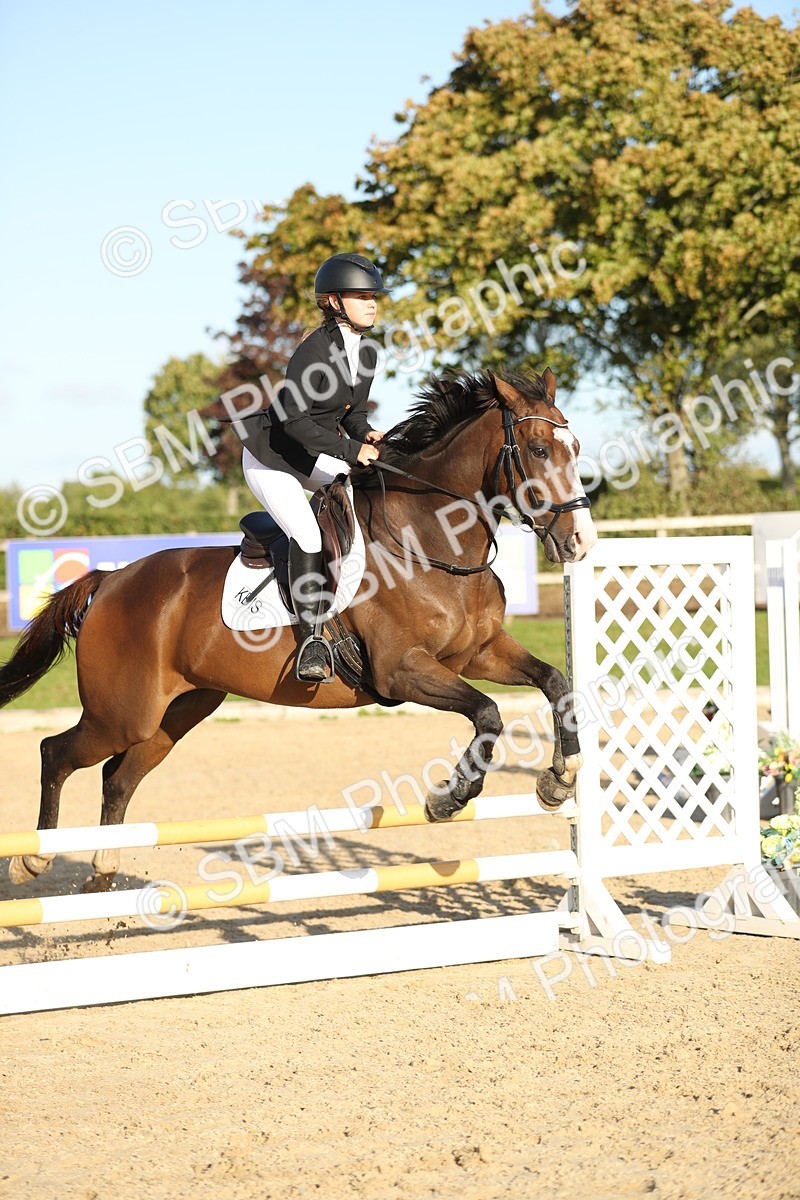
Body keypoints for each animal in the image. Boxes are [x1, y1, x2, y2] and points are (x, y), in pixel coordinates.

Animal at [0, 368, 597, 889]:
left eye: (576, 448)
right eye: (538, 451)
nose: (580, 542)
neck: (431, 543)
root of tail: (111, 580)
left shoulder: (480, 653)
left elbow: (555, 682)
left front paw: (560, 778)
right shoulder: (403, 672)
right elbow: (488, 713)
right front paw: (449, 797)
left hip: (177, 712)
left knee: (118, 778)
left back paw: (102, 871)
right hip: (123, 713)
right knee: (56, 753)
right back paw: (33, 862)